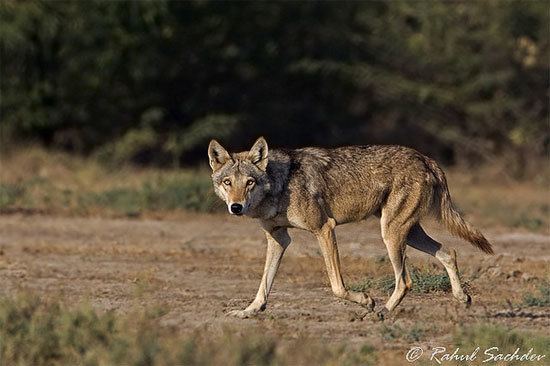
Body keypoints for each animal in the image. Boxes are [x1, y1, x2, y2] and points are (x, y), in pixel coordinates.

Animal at [208, 137, 496, 318]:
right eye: (227, 182)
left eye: (249, 182)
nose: (236, 207)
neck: (280, 185)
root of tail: (426, 158)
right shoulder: (278, 239)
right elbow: (264, 285)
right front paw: (249, 311)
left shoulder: (324, 228)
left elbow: (337, 286)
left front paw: (366, 301)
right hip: (407, 233)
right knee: (449, 252)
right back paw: (462, 298)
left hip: (391, 234)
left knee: (405, 281)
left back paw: (381, 311)